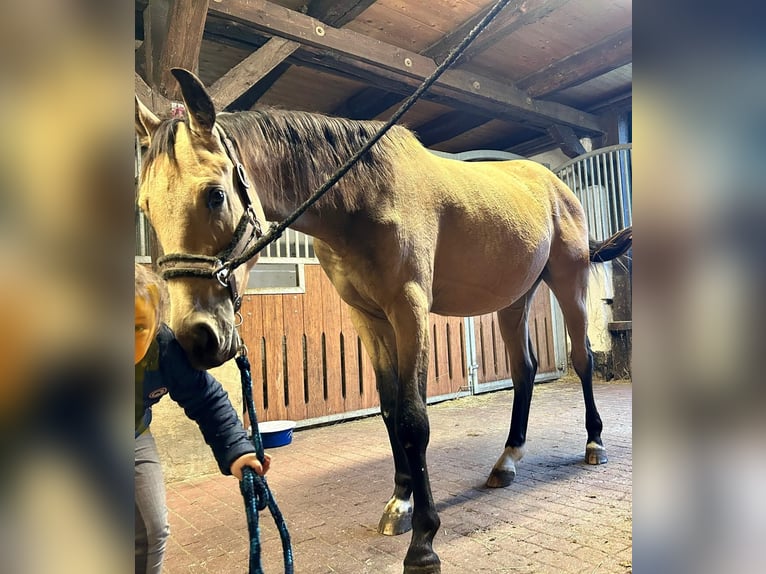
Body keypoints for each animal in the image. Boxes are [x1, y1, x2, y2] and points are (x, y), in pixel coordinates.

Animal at [135, 68, 632, 574]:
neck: (363, 196)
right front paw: (400, 504)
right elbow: (391, 409)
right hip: (515, 299)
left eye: (215, 195)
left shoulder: (408, 308)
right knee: (524, 371)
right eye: (145, 206)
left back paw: (594, 444)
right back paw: (507, 461)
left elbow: (414, 418)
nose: (197, 338)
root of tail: (555, 184)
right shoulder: (368, 316)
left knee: (583, 359)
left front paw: (424, 542)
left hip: (569, 282)